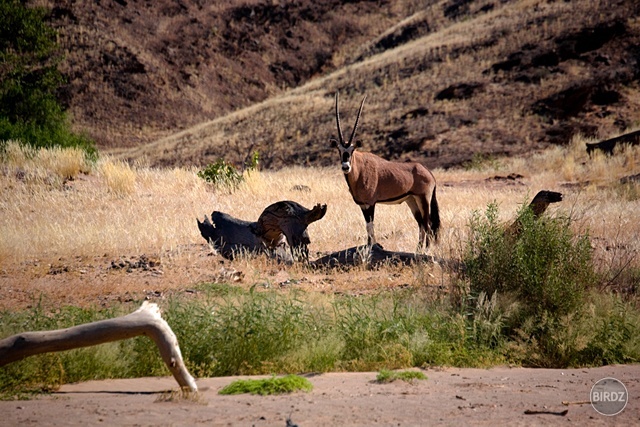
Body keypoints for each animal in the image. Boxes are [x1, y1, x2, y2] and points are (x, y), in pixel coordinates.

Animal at [330, 91, 440, 251]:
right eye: (339, 150)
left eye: (352, 150)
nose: (345, 167)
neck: (359, 171)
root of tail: (428, 173)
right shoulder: (362, 205)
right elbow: (367, 226)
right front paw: (369, 245)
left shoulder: (370, 203)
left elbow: (370, 225)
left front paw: (373, 246)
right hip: (411, 200)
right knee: (421, 224)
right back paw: (417, 249)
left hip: (423, 198)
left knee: (428, 224)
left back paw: (426, 250)